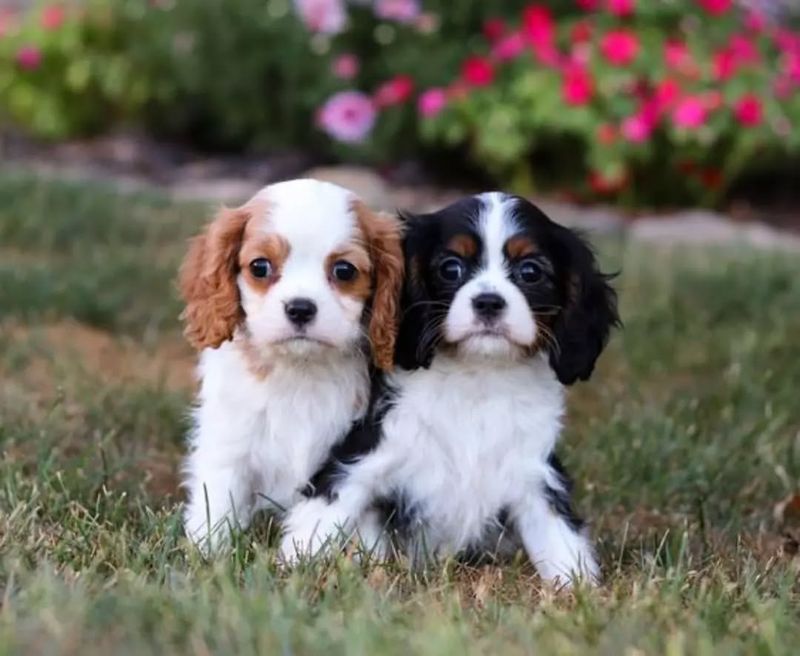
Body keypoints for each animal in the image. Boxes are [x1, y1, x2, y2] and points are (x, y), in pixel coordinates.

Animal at [179, 178, 404, 548]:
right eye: (260, 267)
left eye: (344, 271)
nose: (300, 308)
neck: (300, 368)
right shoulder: (230, 440)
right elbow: (219, 499)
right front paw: (207, 549)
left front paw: (364, 554)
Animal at [280, 191, 620, 584]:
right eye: (451, 268)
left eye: (531, 272)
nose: (488, 302)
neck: (479, 374)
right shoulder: (366, 453)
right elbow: (325, 511)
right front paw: (291, 567)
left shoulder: (535, 474)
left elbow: (559, 538)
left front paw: (578, 588)